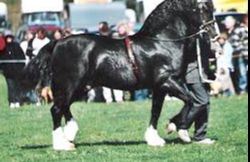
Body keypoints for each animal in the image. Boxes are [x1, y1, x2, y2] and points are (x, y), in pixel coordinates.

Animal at [24, 0, 218, 151]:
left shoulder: (159, 87)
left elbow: (156, 111)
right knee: (56, 109)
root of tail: (57, 42)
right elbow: (191, 101)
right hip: (68, 84)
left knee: (64, 107)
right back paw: (61, 144)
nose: (214, 34)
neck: (161, 42)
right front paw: (176, 127)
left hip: (80, 87)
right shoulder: (168, 81)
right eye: (202, 8)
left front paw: (154, 138)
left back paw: (69, 135)